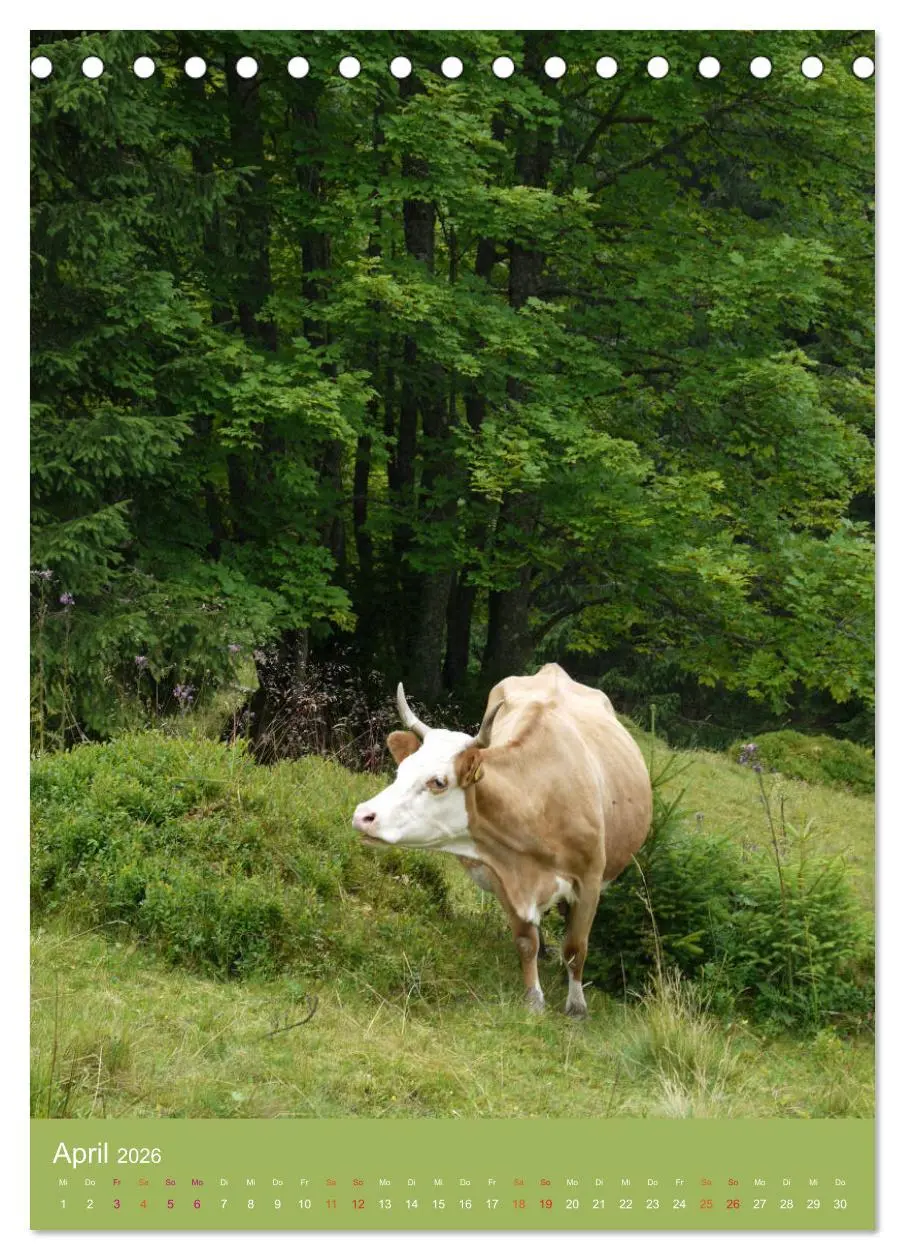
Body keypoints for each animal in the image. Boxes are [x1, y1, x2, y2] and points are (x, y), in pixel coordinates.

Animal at [351, 663, 652, 1017]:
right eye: (401, 770)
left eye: (439, 781)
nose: (363, 815)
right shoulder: (502, 871)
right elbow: (526, 941)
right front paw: (534, 998)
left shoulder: (590, 880)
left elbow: (576, 947)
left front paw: (576, 1005)